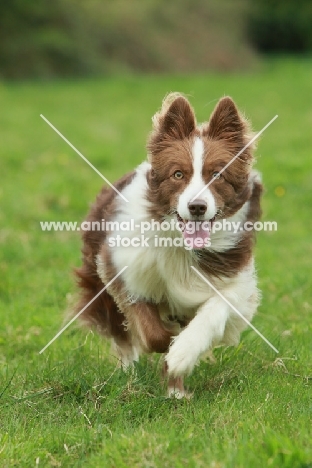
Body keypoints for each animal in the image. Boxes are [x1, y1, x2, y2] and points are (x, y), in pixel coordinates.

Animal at [74, 93, 262, 396]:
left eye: (217, 175)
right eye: (178, 174)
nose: (197, 207)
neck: (180, 243)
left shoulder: (234, 278)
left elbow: (214, 311)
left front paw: (182, 354)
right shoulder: (123, 266)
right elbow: (151, 331)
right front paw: (169, 341)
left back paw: (176, 390)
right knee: (120, 332)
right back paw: (128, 372)